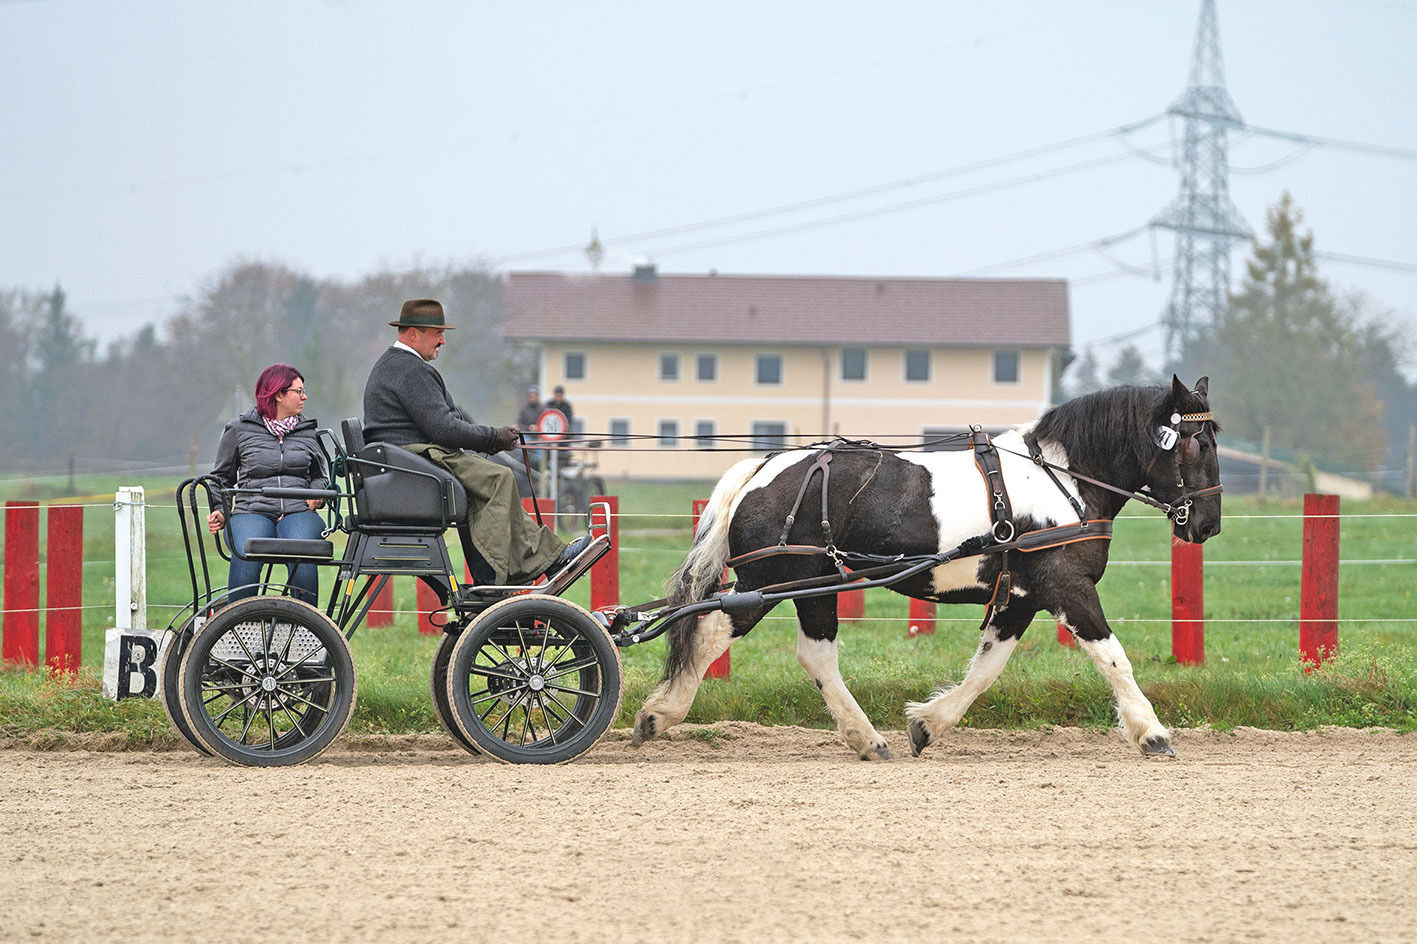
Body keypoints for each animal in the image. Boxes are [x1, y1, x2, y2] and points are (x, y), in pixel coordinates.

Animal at [637, 374, 1224, 759]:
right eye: (1196, 443)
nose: (1208, 525)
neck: (1063, 478)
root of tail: (763, 467)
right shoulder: (1067, 587)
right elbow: (1113, 658)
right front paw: (1152, 732)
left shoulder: (1019, 598)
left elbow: (986, 669)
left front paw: (927, 724)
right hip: (777, 579)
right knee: (714, 634)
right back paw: (659, 714)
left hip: (809, 585)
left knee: (812, 655)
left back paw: (866, 738)